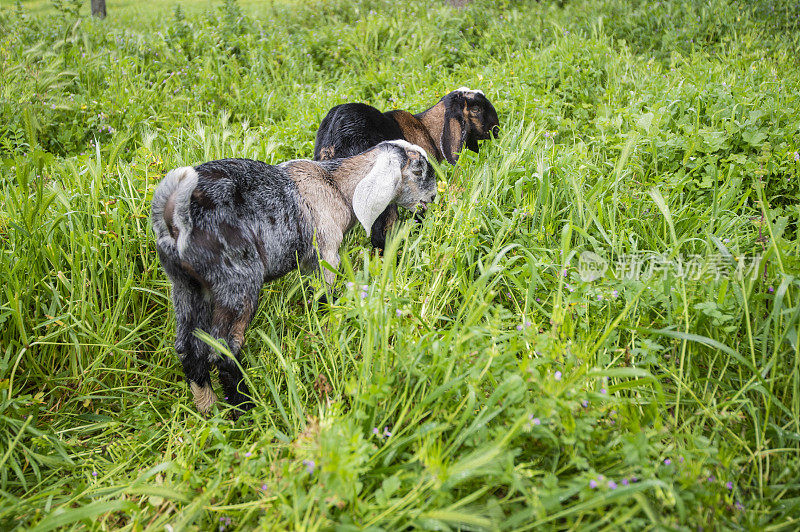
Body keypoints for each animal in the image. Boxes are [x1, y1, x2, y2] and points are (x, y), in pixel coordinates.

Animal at [150, 139, 438, 414]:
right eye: (418, 170)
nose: (434, 197)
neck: (336, 186)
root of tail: (175, 217)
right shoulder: (326, 256)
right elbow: (324, 297)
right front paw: (327, 331)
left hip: (188, 287)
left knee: (188, 348)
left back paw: (209, 409)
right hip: (238, 282)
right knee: (222, 349)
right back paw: (245, 408)